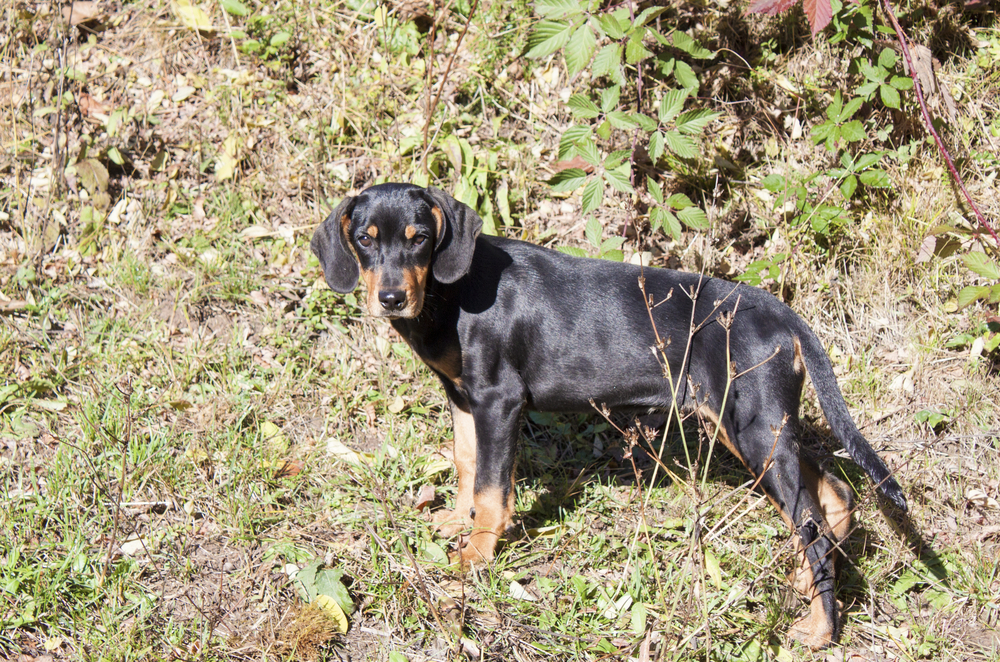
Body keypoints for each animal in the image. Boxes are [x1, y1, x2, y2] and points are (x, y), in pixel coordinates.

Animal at [312, 184, 908, 652]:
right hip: (764, 426)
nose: (391, 298)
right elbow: (465, 463)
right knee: (832, 495)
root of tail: (784, 315)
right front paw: (458, 523)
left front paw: (476, 556)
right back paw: (808, 585)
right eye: (365, 238)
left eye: (419, 237)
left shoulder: (499, 401)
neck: (451, 291)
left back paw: (821, 629)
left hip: (751, 424)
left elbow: (491, 487)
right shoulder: (462, 397)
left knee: (811, 523)